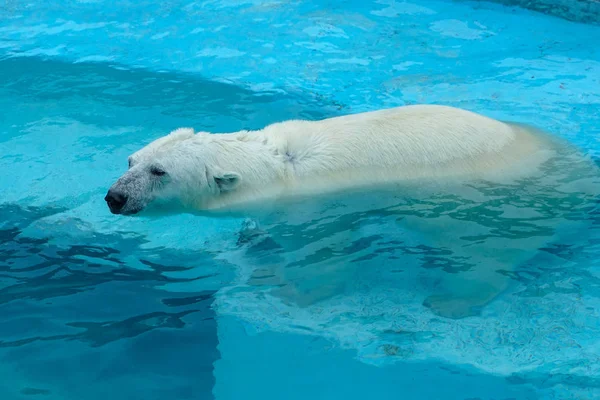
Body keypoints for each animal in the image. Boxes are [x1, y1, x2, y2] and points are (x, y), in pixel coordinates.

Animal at [104, 104, 600, 318]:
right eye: (131, 161)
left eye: (159, 171)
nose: (115, 197)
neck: (278, 165)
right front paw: (253, 241)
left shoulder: (315, 206)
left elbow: (324, 260)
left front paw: (285, 288)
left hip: (486, 208)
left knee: (483, 255)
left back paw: (450, 299)